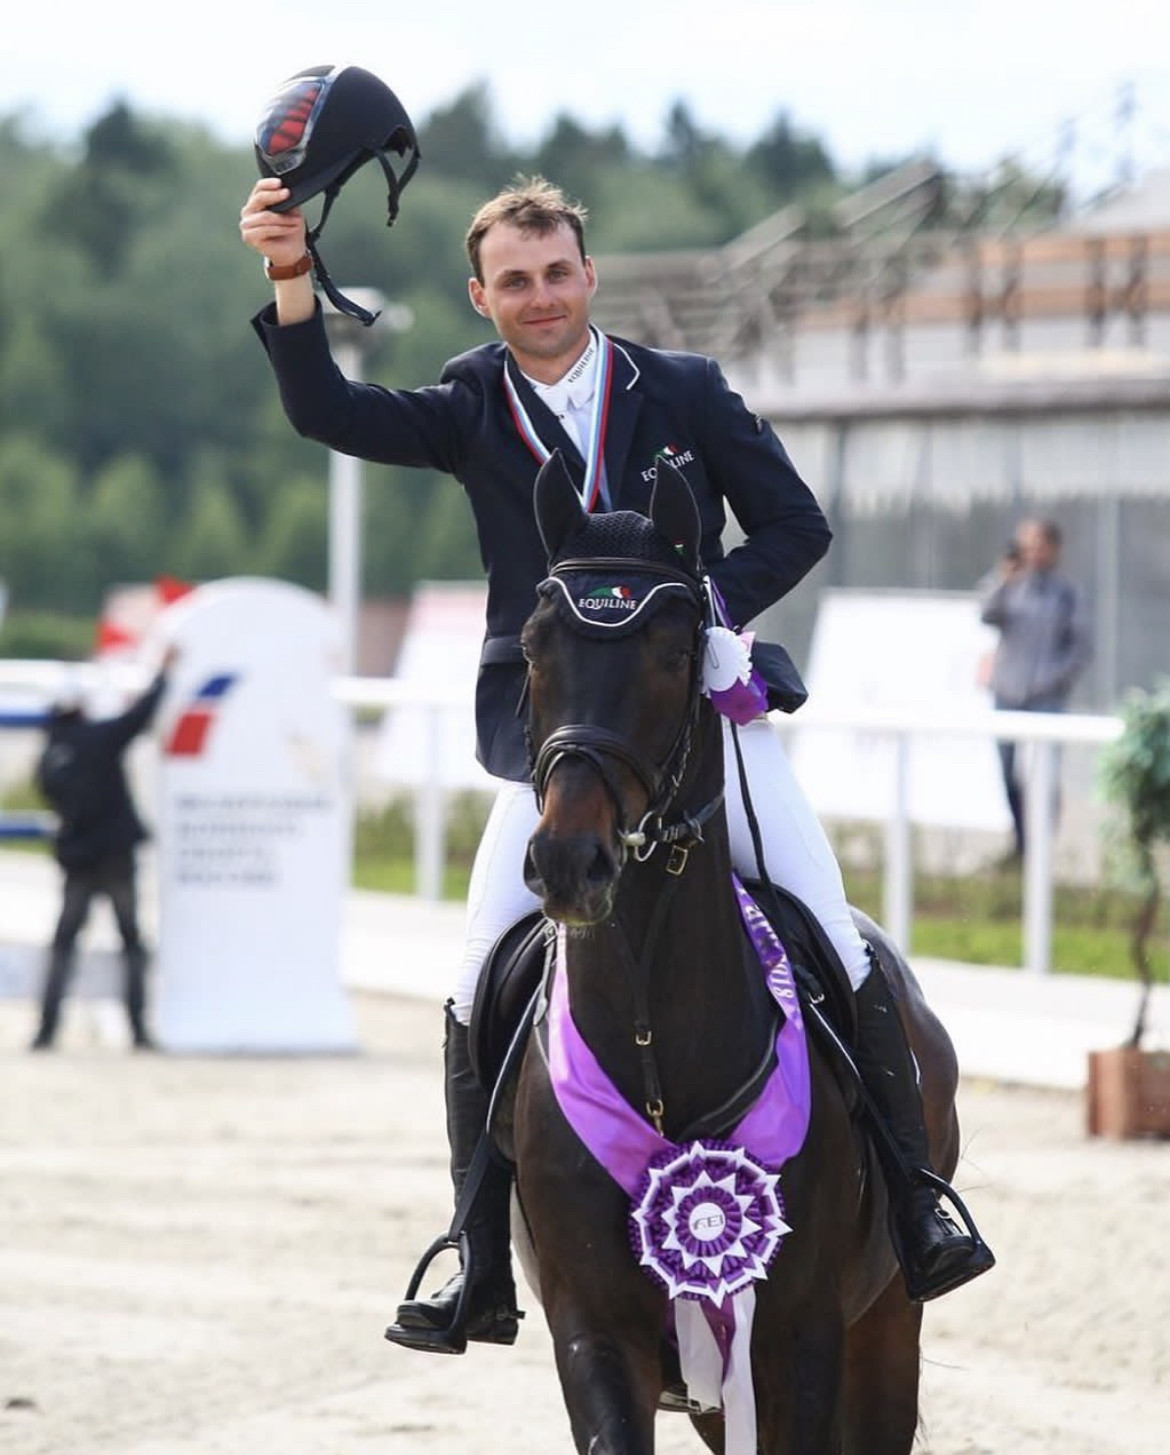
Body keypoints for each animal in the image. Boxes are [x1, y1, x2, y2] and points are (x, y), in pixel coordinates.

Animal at [504, 450, 976, 1455]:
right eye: (531, 647)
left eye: (674, 654)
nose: (569, 861)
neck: (658, 1057)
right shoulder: (594, 1335)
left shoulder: (799, 1337)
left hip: (886, 1325)